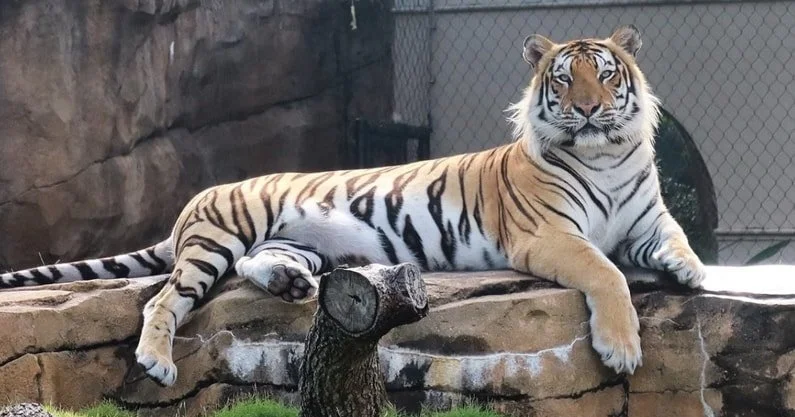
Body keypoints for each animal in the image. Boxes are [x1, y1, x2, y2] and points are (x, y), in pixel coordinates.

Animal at [0, 25, 705, 387]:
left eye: (606, 74)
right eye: (564, 78)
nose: (587, 109)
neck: (606, 155)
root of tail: (196, 199)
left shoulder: (650, 220)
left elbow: (678, 241)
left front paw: (690, 271)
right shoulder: (549, 235)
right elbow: (606, 273)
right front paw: (621, 349)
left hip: (291, 240)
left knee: (255, 266)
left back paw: (289, 284)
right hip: (221, 236)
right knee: (166, 298)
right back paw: (155, 358)